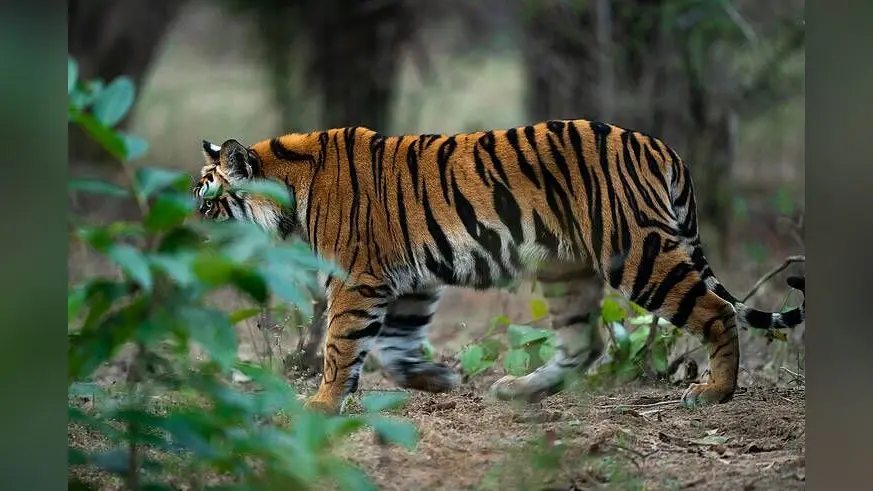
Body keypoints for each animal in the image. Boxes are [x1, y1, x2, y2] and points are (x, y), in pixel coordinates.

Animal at [192, 120, 806, 415]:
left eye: (207, 203)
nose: (186, 237)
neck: (289, 189)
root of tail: (664, 148)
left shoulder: (356, 279)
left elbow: (340, 347)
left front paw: (319, 404)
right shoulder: (408, 282)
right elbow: (392, 348)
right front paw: (437, 379)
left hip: (638, 252)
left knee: (716, 312)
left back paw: (714, 392)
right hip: (566, 270)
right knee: (586, 343)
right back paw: (519, 390)